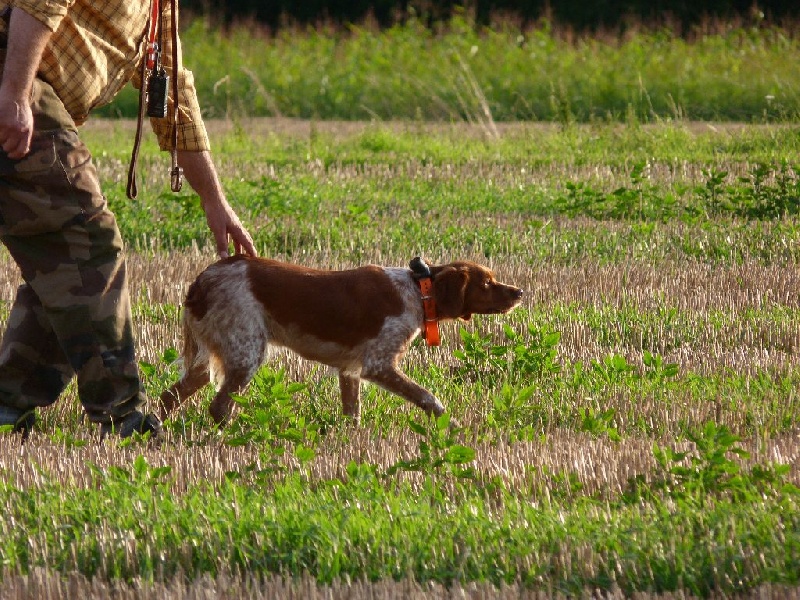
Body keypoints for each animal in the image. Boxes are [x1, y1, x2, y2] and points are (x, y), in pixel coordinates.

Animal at [160, 255, 524, 424]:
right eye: (487, 283)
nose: (519, 292)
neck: (417, 290)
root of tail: (201, 282)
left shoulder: (350, 371)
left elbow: (353, 414)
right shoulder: (377, 365)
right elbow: (428, 397)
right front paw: (449, 423)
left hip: (213, 357)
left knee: (169, 396)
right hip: (246, 353)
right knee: (220, 406)